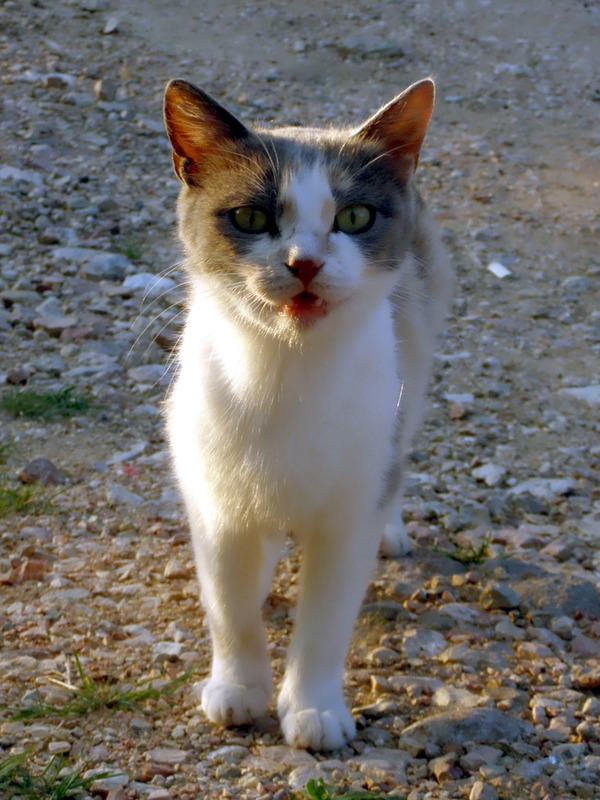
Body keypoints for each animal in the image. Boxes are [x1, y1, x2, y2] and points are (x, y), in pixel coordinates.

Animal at [164, 76, 450, 752]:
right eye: (250, 217)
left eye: (354, 217)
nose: (305, 263)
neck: (284, 379)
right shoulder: (215, 505)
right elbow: (230, 609)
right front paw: (239, 690)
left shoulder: (346, 523)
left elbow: (325, 623)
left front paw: (315, 710)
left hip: (413, 370)